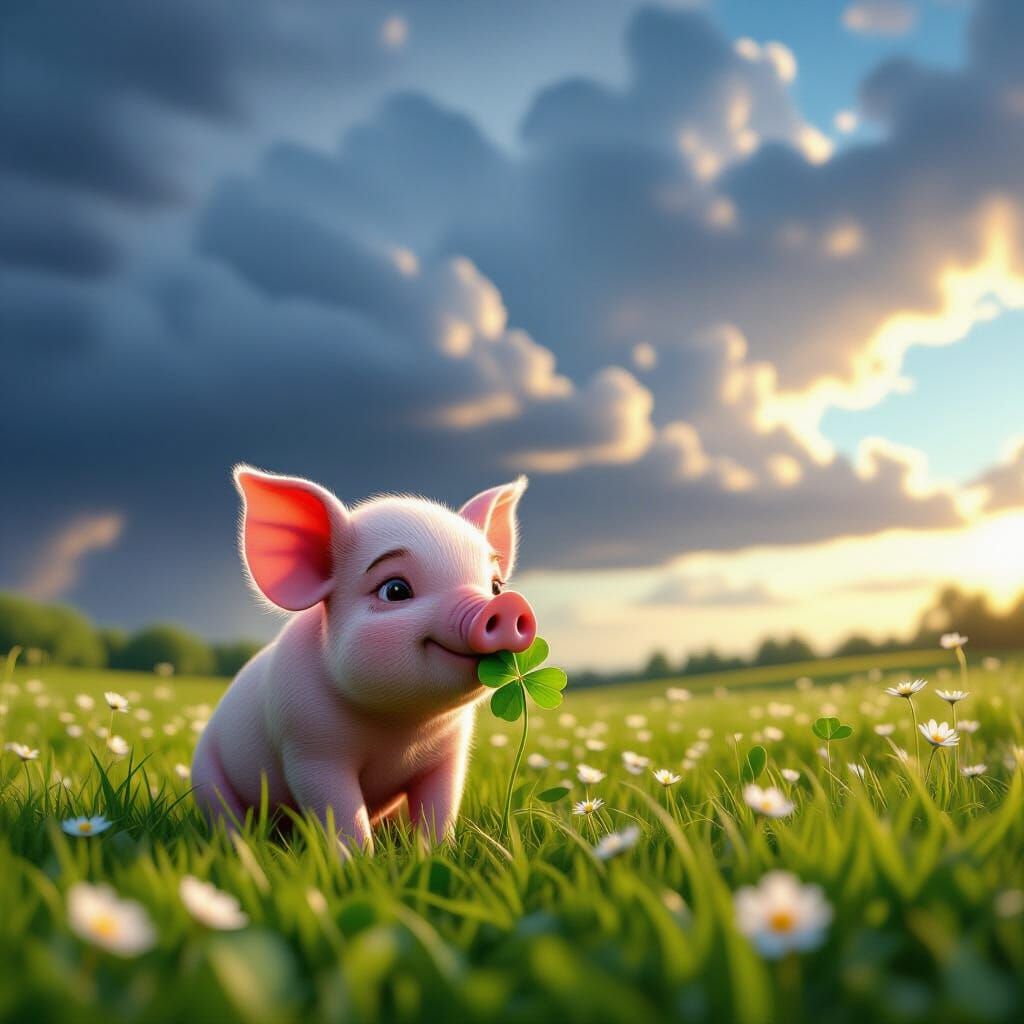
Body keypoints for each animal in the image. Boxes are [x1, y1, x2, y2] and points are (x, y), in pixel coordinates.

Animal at [191, 465, 537, 851]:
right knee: (225, 817)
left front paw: (435, 854)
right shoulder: (310, 750)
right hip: (207, 776)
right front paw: (357, 860)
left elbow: (440, 806)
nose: (507, 604)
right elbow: (341, 812)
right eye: (395, 590)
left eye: (495, 587)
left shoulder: (450, 753)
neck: (400, 728)